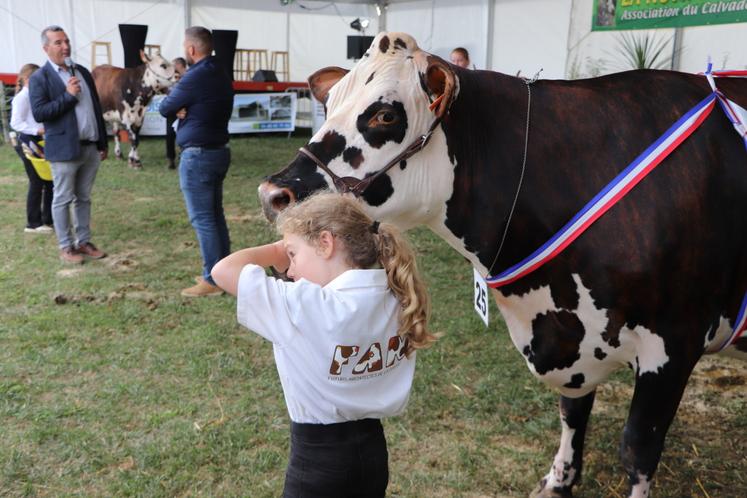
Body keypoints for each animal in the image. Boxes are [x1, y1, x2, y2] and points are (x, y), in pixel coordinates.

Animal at [260, 33, 747, 496]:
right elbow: (572, 412)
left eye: (384, 116)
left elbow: (638, 450)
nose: (273, 193)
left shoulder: (675, 344)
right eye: (328, 105)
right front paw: (559, 481)